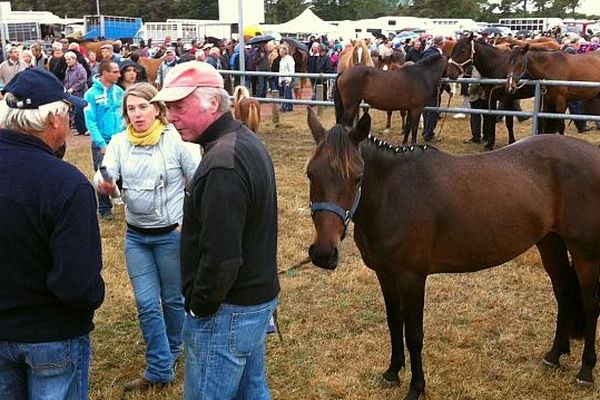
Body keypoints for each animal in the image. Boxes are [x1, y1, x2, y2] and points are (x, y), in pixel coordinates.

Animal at [308, 106, 600, 400]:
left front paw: (416, 387)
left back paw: (585, 370)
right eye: (310, 174)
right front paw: (392, 372)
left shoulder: (412, 278)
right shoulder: (385, 274)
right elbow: (394, 323)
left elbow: (414, 333)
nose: (323, 254)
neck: (394, 195)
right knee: (563, 290)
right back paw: (554, 354)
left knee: (589, 303)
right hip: (550, 241)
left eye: (357, 177)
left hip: (585, 253)